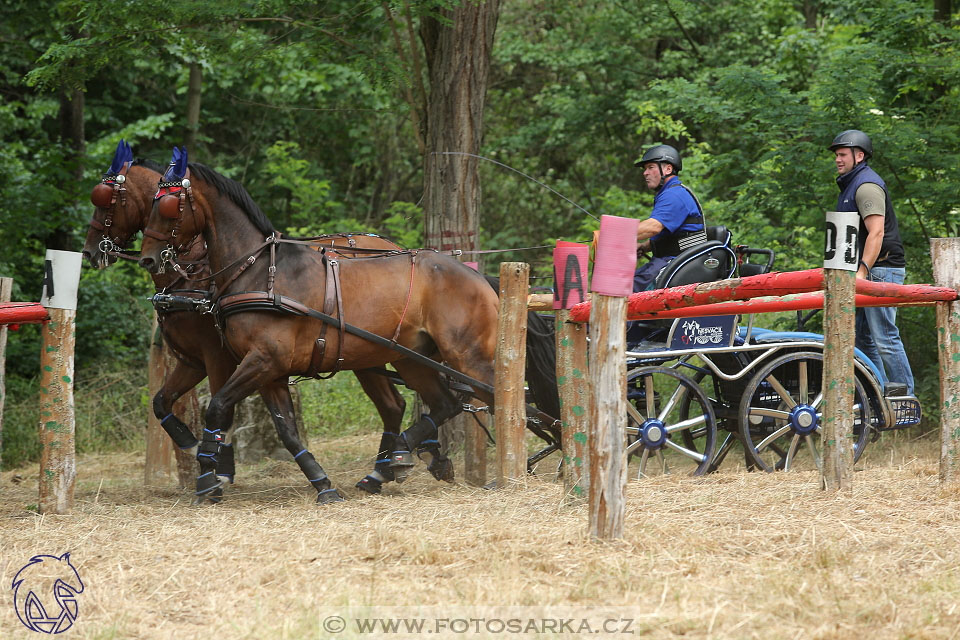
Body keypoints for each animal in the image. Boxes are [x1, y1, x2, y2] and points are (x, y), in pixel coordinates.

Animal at [82, 142, 408, 498]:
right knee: (394, 406)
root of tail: (392, 245)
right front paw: (197, 449)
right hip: (366, 357)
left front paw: (216, 469)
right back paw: (387, 467)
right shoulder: (194, 361)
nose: (88, 251)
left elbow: (222, 412)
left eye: (106, 199)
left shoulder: (220, 357)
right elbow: (161, 403)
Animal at [135, 148, 556, 502]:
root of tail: (480, 277)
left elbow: (218, 407)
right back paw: (393, 461)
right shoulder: (268, 369)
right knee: (446, 403)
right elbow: (285, 429)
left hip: (469, 357)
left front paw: (208, 477)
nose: (148, 259)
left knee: (506, 399)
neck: (258, 271)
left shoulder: (261, 360)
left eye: (168, 205)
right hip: (411, 358)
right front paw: (321, 484)